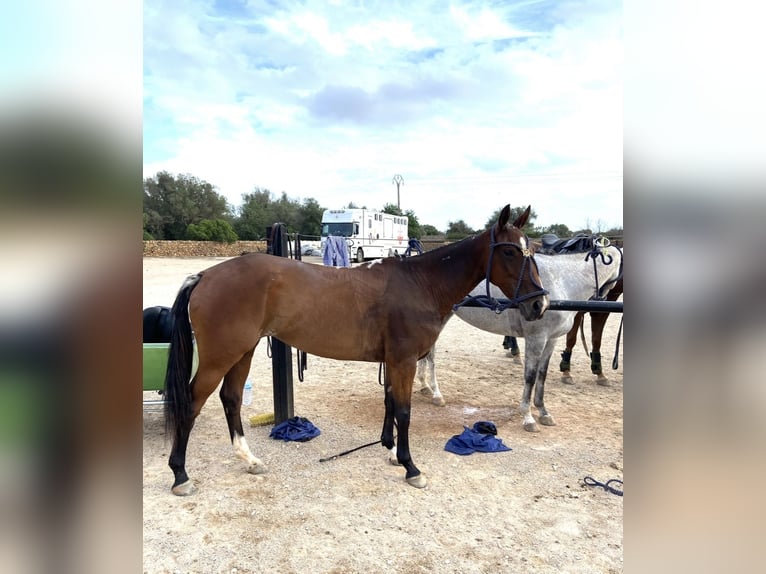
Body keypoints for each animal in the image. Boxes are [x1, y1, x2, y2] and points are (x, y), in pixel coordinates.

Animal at [162, 205, 549, 494]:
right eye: (510, 251)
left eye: (532, 250)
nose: (539, 305)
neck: (420, 283)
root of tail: (205, 276)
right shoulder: (405, 360)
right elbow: (405, 411)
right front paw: (411, 467)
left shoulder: (394, 361)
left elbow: (391, 403)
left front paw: (391, 451)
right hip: (221, 356)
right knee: (193, 402)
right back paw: (180, 475)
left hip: (243, 351)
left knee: (231, 398)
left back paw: (249, 460)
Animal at [415, 239, 622, 432]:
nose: (603, 298)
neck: (561, 281)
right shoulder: (536, 339)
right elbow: (530, 376)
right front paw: (528, 417)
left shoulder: (551, 340)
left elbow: (542, 374)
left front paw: (543, 412)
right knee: (431, 355)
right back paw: (436, 394)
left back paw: (426, 387)